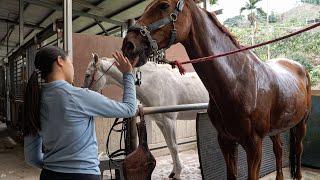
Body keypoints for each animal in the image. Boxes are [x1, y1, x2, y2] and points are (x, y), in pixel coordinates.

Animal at [82, 53, 210, 179]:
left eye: (87, 75)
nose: (83, 91)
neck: (156, 85)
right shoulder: (161, 123)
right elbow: (169, 146)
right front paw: (173, 172)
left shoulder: (169, 121)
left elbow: (174, 147)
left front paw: (177, 174)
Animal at [122, 0, 310, 179]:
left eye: (163, 5)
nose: (128, 44)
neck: (237, 82)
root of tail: (300, 67)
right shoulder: (225, 141)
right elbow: (231, 174)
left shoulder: (254, 145)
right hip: (275, 129)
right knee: (279, 150)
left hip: (302, 123)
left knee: (299, 149)